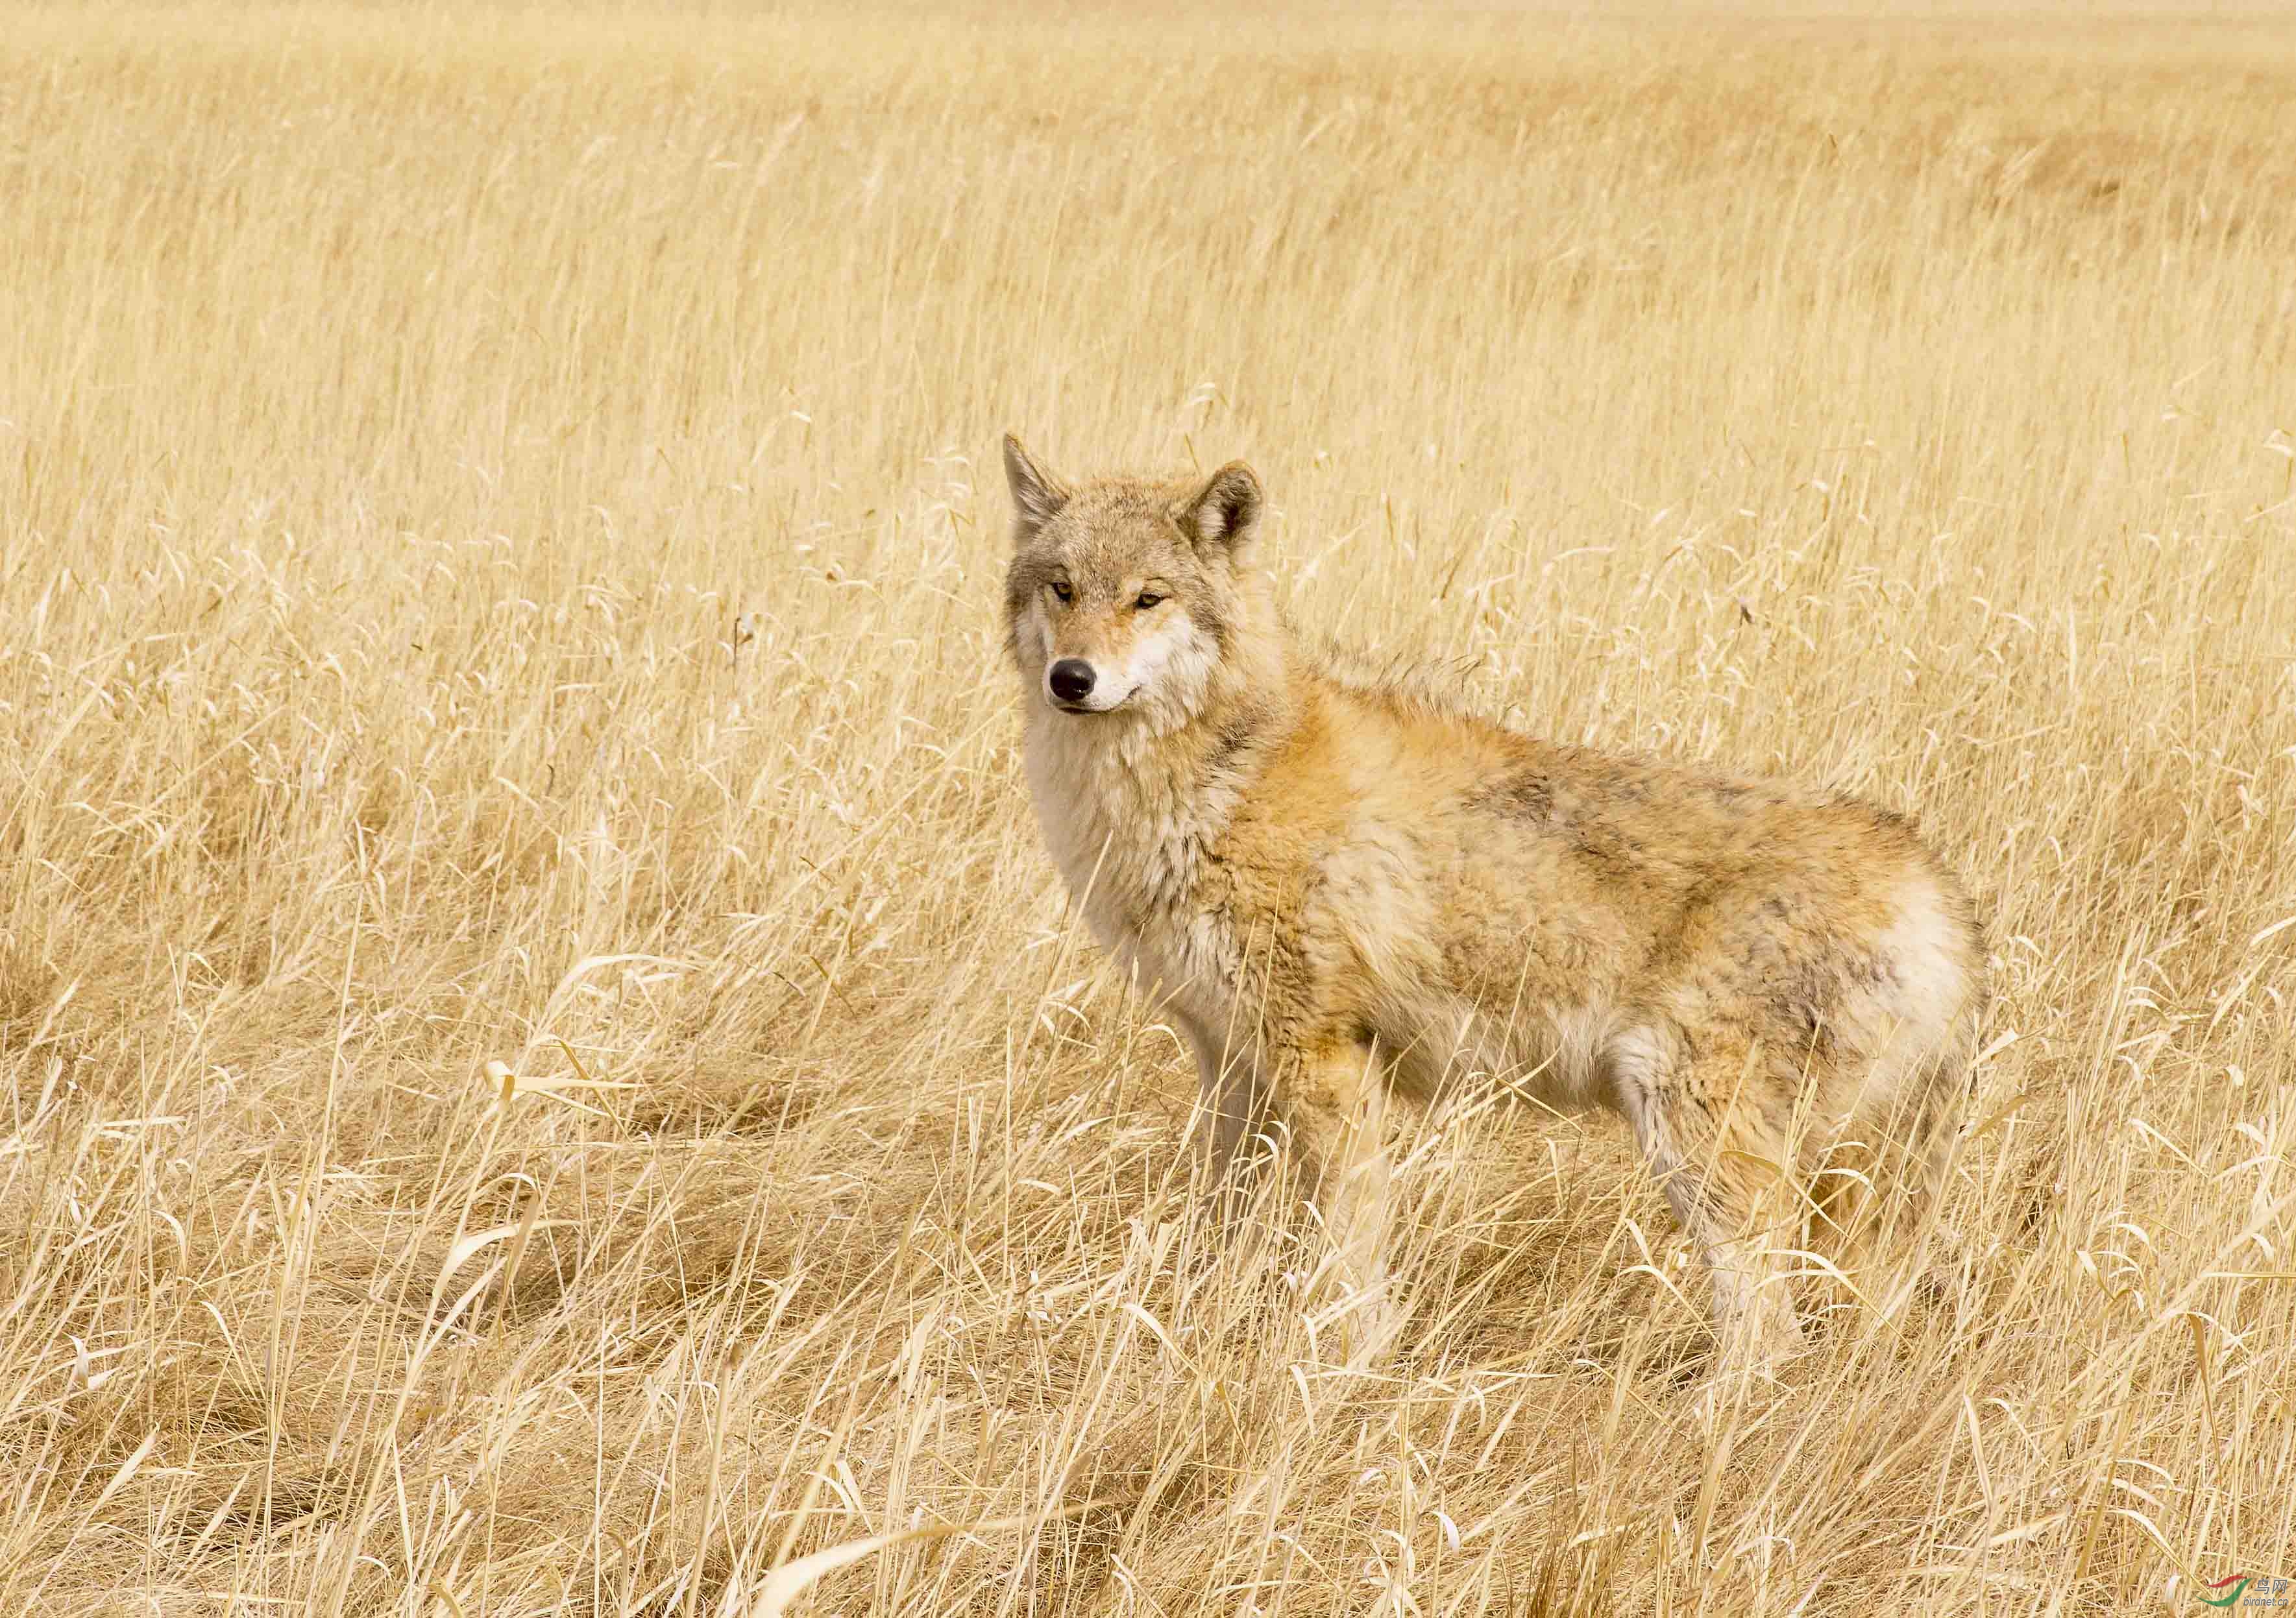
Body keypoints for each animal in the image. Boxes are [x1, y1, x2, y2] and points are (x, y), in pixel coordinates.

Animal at [996, 436, 1983, 1368]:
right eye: (1062, 589)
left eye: (1147, 599)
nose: (1072, 679)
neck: (1214, 779)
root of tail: (1936, 891)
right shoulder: (1229, 1062)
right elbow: (1225, 1230)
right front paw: (1198, 1327)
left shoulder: (1324, 1062)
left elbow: (1349, 1258)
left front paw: (1345, 1365)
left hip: (1695, 1139)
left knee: (1769, 1336)